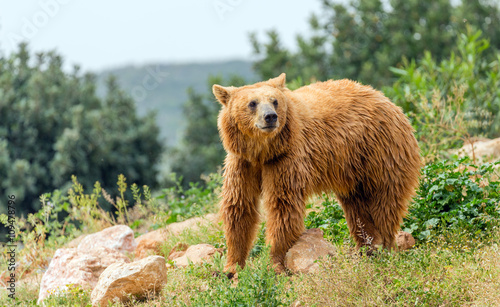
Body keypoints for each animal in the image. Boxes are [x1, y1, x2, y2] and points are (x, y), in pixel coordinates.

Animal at [212, 73, 422, 274]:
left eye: (275, 101)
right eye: (252, 103)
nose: (270, 117)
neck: (263, 152)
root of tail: (388, 101)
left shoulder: (286, 159)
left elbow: (282, 208)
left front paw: (274, 263)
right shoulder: (243, 163)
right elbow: (239, 207)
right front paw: (230, 267)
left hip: (381, 153)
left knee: (384, 202)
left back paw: (385, 247)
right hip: (353, 173)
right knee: (357, 208)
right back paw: (367, 248)